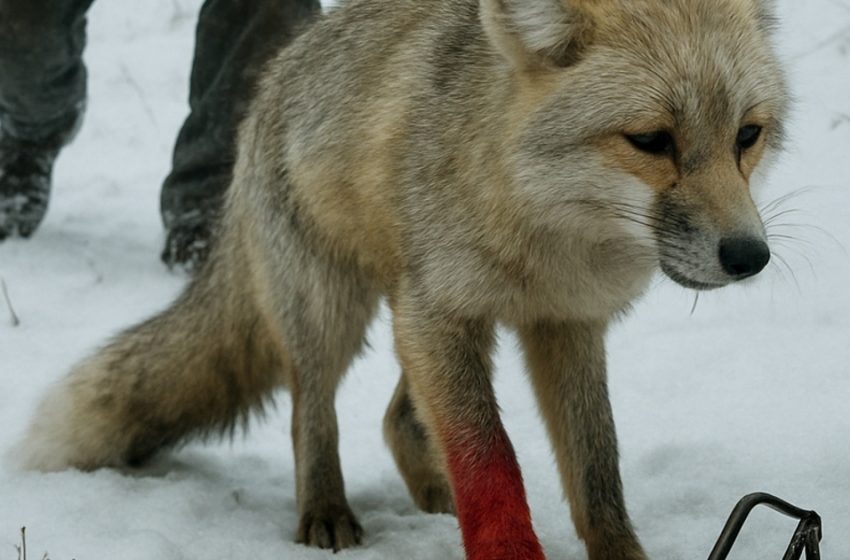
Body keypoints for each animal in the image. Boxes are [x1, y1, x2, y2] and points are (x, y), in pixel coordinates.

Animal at [15, 0, 788, 558]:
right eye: (652, 141)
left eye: (746, 137)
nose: (749, 256)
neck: (543, 235)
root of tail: (271, 77)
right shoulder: (441, 312)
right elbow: (490, 459)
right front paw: (505, 548)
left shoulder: (564, 324)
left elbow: (598, 469)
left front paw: (621, 554)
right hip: (336, 311)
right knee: (311, 413)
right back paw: (326, 512)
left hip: (429, 320)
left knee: (398, 417)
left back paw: (430, 492)